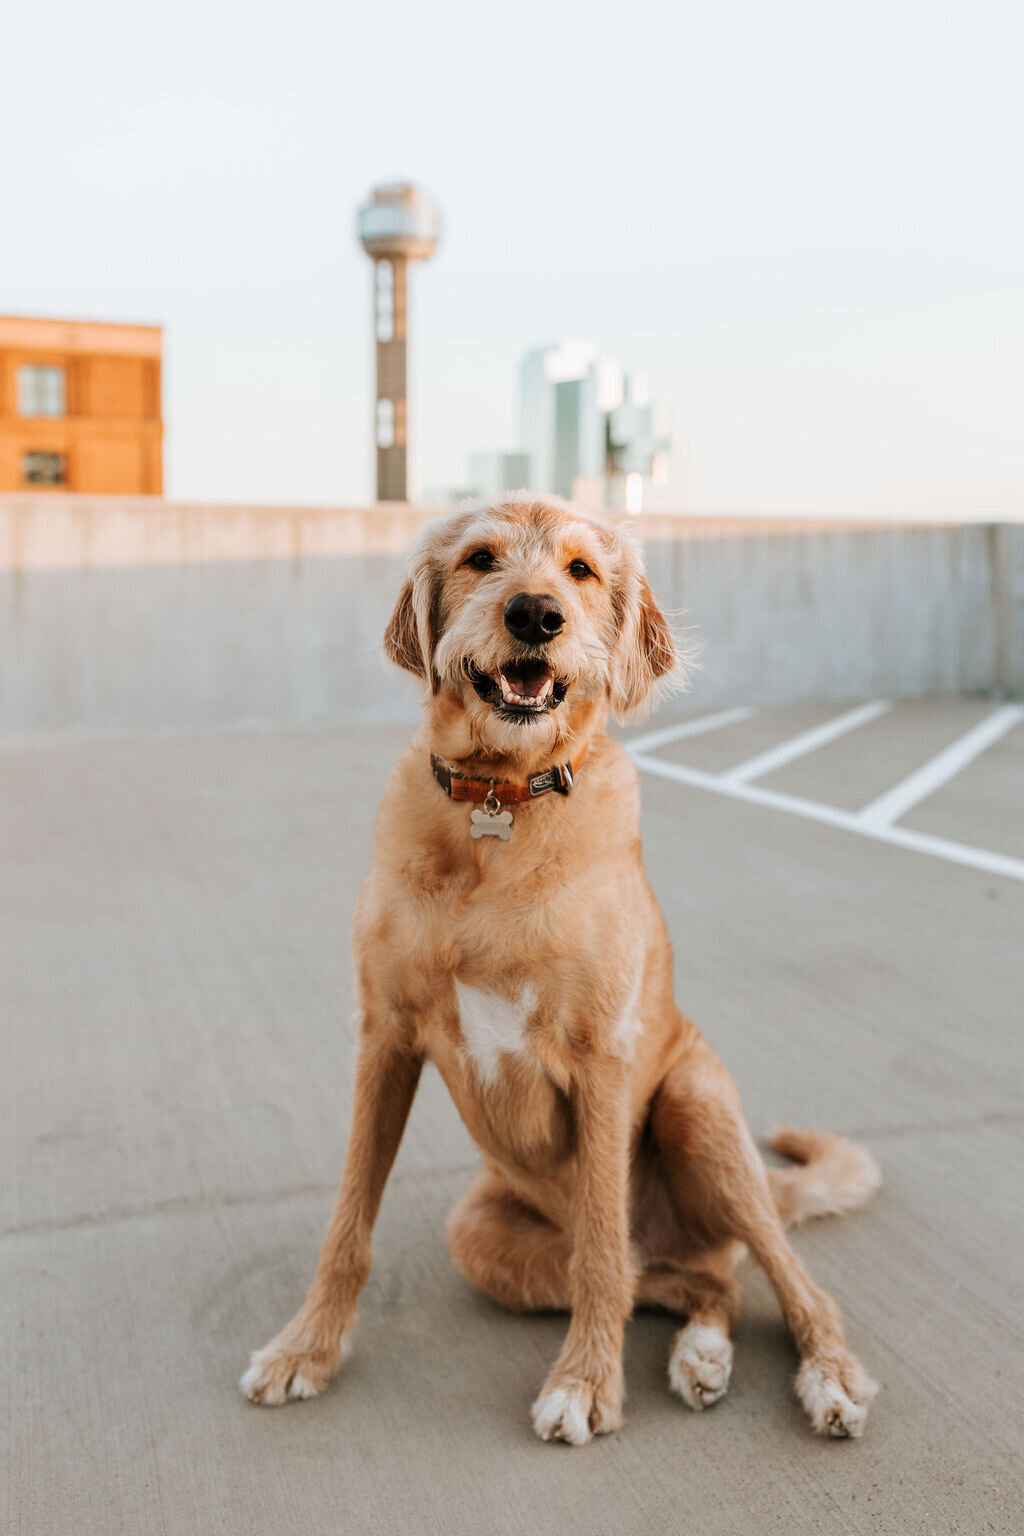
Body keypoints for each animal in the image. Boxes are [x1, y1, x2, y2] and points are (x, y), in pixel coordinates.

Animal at [241, 497, 884, 1443]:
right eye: (480, 558)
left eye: (580, 570)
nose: (536, 616)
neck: (499, 806)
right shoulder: (384, 1035)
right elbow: (349, 1221)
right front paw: (304, 1351)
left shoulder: (602, 1054)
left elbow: (602, 1260)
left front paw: (585, 1384)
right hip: (479, 1233)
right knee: (698, 1282)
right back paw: (701, 1354)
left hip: (698, 1112)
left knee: (778, 1276)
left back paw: (827, 1374)